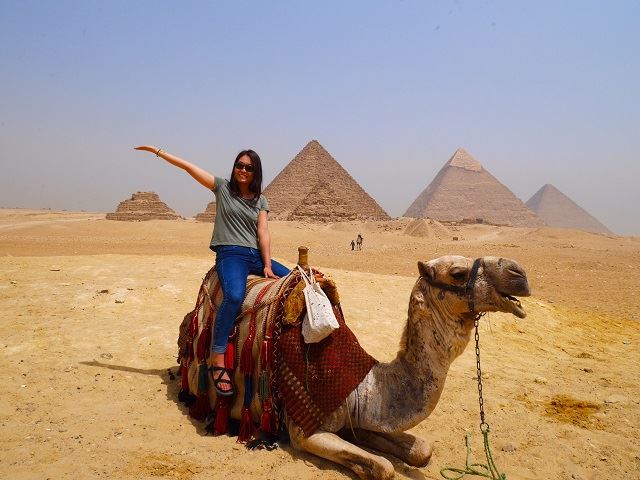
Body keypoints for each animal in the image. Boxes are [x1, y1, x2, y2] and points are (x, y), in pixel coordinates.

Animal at [184, 252, 530, 479]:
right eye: (458, 273)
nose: (519, 274)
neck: (367, 384)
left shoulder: (359, 412)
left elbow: (421, 450)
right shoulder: (305, 430)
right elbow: (384, 468)